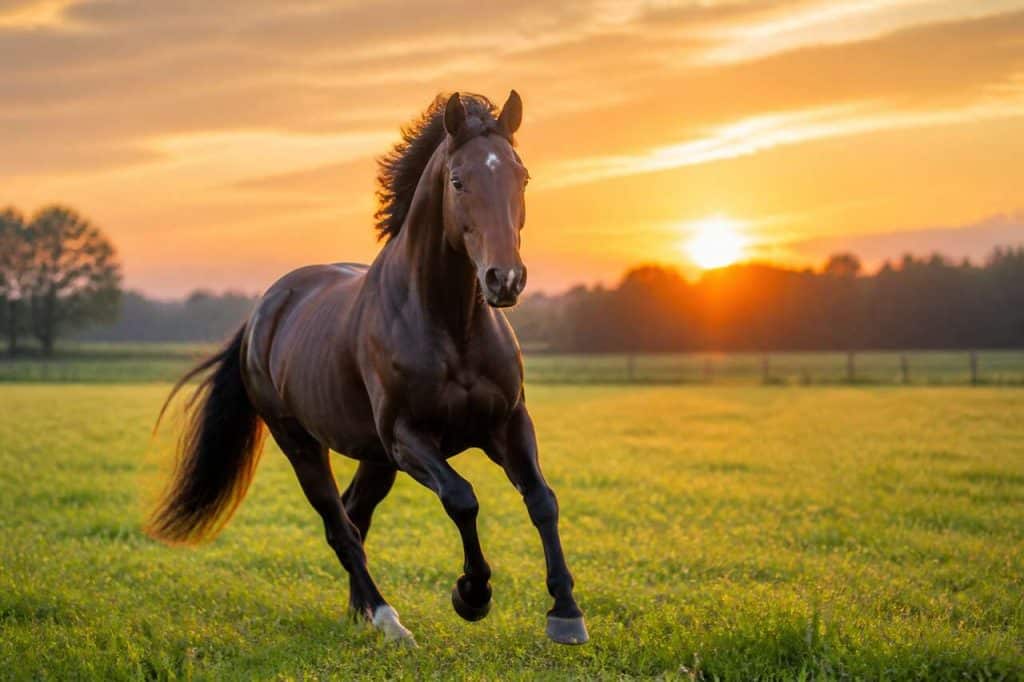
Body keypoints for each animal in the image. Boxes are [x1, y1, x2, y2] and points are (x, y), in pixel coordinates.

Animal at [147, 91, 588, 646]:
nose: (504, 279)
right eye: (457, 180)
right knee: (340, 525)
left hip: (375, 458)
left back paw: (361, 611)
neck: (450, 324)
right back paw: (387, 619)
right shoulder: (407, 437)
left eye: (521, 176)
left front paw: (566, 612)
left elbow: (542, 499)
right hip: (304, 444)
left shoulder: (507, 424)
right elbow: (462, 499)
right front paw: (471, 595)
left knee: (355, 514)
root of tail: (263, 311)